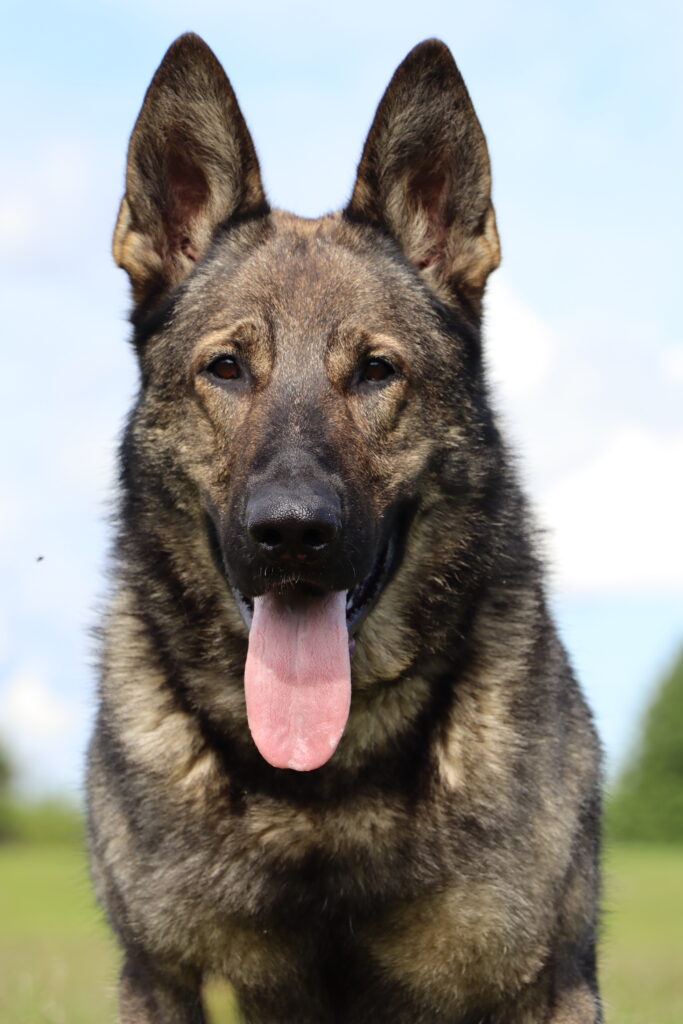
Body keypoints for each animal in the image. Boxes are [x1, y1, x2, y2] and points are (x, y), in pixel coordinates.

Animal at [86, 33, 603, 1023]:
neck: (319, 789)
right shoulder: (162, 977)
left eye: (373, 371)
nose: (291, 532)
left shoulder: (541, 982)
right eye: (226, 368)